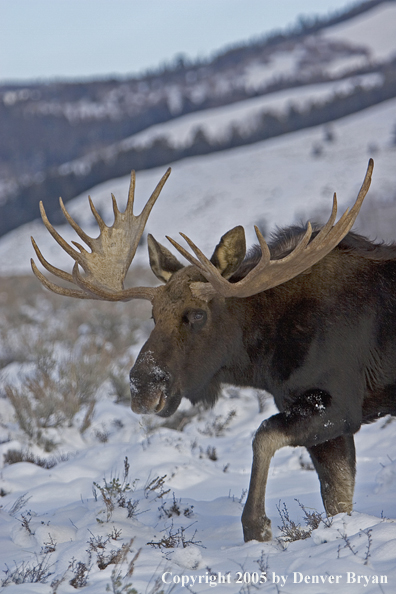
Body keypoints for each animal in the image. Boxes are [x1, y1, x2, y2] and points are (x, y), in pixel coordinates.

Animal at [31, 158, 396, 540]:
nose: (143, 385)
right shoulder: (324, 418)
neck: (266, 358)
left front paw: (257, 526)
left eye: (197, 314)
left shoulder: (339, 404)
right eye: (153, 315)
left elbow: (263, 436)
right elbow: (337, 501)